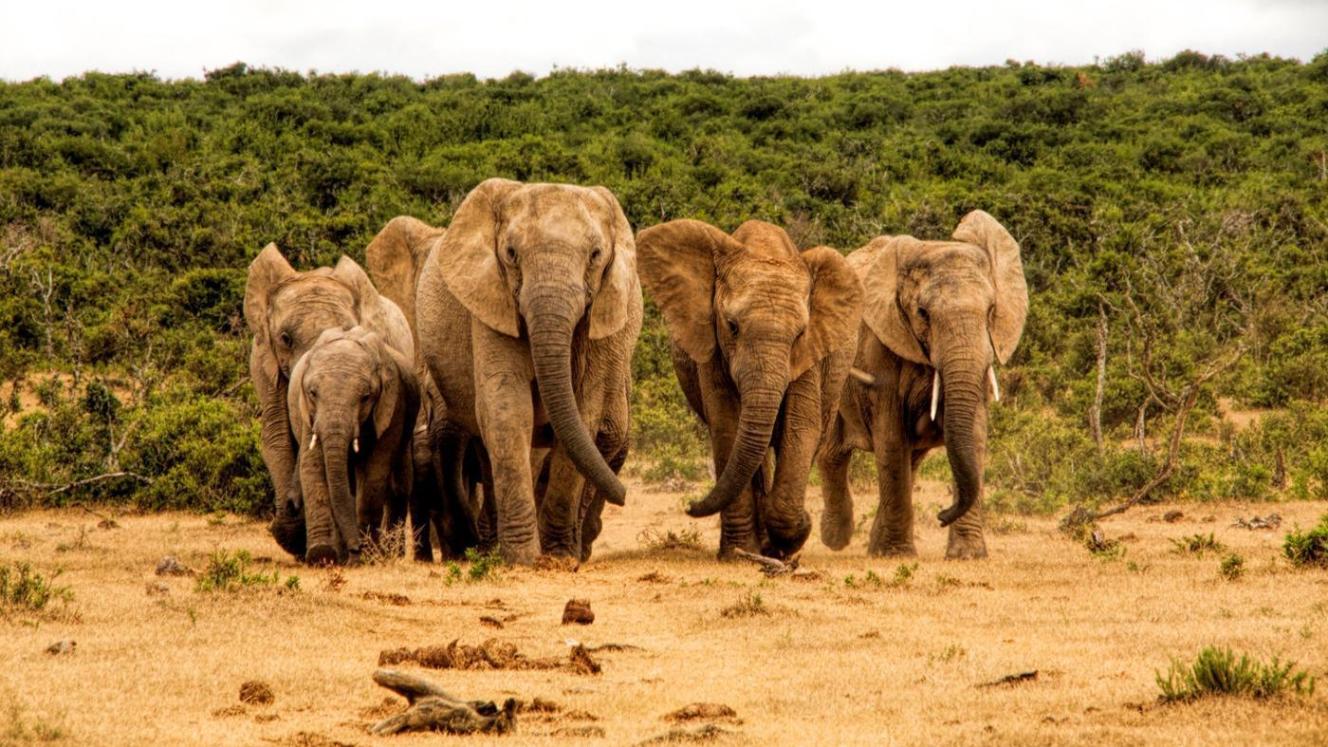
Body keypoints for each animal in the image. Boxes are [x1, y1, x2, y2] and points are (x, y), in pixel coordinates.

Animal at [287, 326, 420, 564]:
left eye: (366, 397)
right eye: (312, 393)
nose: (355, 547)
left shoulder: (392, 406)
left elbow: (374, 473)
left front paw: (366, 557)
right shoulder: (308, 416)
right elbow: (313, 468)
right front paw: (321, 555)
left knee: (399, 483)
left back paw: (387, 554)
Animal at [411, 179, 642, 565]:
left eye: (596, 255)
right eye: (510, 253)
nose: (623, 495)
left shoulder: (603, 318)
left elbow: (585, 413)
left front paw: (559, 557)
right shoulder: (491, 301)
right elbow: (507, 406)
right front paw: (522, 559)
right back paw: (490, 548)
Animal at [635, 219, 862, 559]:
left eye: (800, 334)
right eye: (732, 326)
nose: (690, 505)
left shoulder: (810, 354)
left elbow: (800, 427)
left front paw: (789, 537)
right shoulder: (712, 348)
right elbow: (728, 426)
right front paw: (740, 552)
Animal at [818, 210, 1028, 559]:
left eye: (990, 310)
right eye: (923, 313)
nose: (942, 515)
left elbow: (975, 434)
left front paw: (967, 555)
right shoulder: (881, 349)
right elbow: (891, 441)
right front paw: (896, 554)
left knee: (909, 460)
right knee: (834, 450)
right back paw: (836, 538)